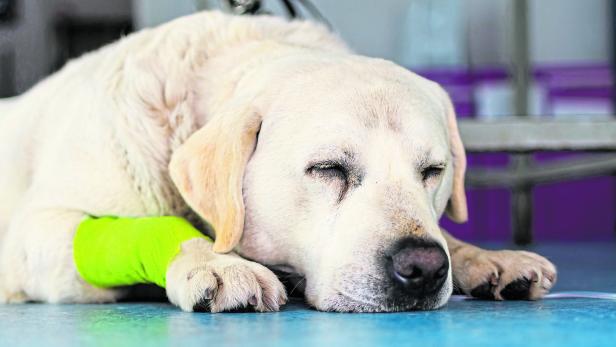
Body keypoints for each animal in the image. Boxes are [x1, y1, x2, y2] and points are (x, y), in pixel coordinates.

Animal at [0, 12, 560, 314]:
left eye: (433, 172)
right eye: (328, 169)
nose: (423, 267)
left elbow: (447, 233)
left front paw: (486, 258)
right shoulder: (42, 234)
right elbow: (164, 230)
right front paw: (216, 262)